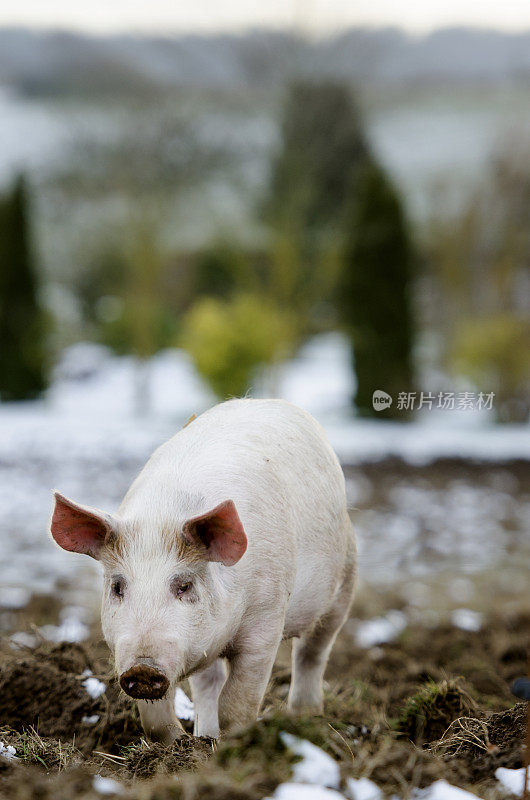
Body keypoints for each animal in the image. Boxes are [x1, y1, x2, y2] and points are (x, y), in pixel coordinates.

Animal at [49, 400, 354, 744]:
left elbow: (236, 703)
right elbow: (156, 719)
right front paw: (179, 744)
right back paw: (204, 735)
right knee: (209, 684)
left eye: (184, 585)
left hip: (346, 574)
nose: (143, 668)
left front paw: (232, 744)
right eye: (117, 587)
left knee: (313, 652)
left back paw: (308, 718)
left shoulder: (267, 618)